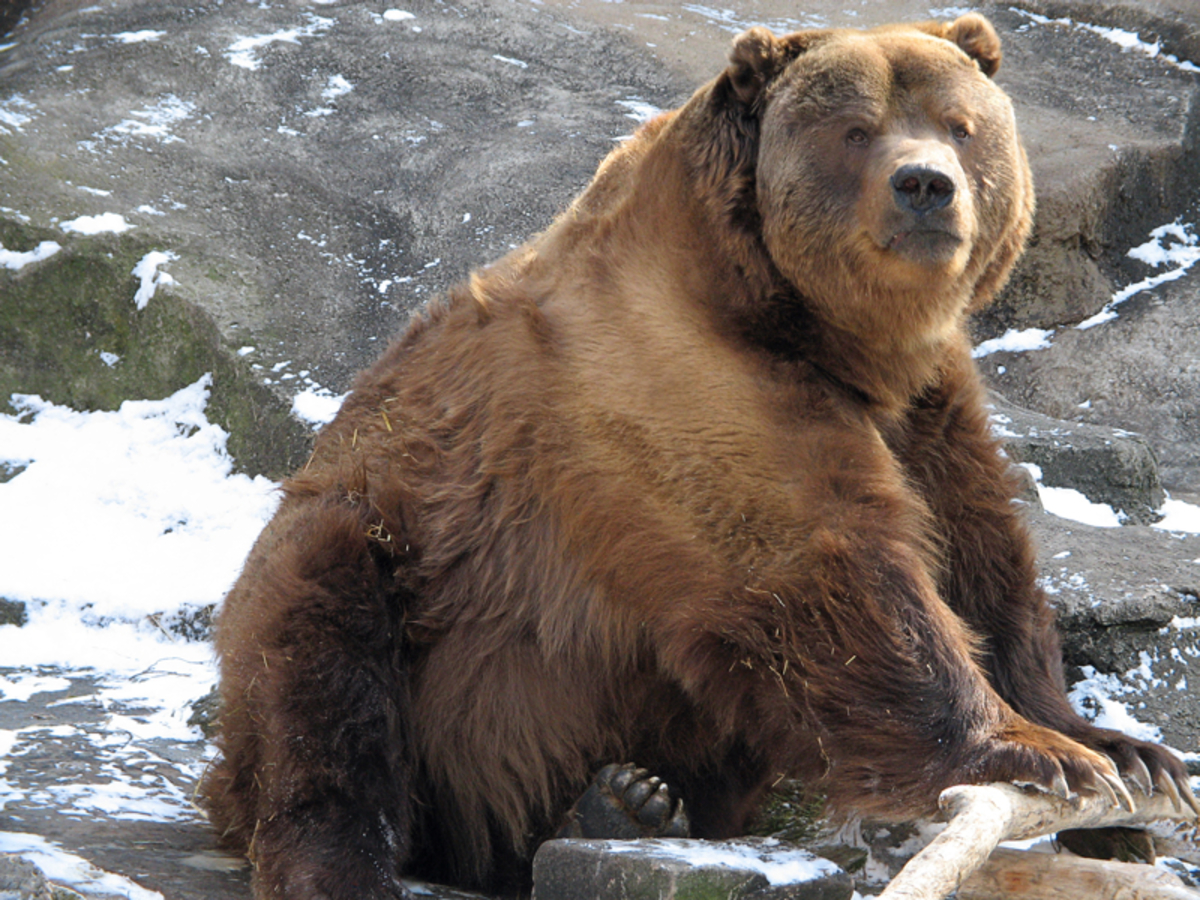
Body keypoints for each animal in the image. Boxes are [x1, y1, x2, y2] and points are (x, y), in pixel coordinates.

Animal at [201, 14, 1195, 900]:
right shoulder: (678, 380)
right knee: (320, 669)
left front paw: (1125, 751)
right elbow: (826, 575)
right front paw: (1035, 752)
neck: (829, 336)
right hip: (394, 566)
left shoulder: (928, 409)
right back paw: (356, 855)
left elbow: (980, 555)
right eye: (856, 130)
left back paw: (634, 798)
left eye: (961, 123)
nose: (926, 186)